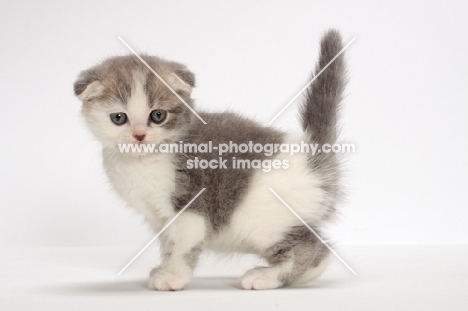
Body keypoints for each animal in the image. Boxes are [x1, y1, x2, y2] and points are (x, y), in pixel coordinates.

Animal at [74, 29, 348, 292]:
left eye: (158, 115)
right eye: (119, 118)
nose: (139, 135)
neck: (144, 159)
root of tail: (311, 155)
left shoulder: (190, 204)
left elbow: (182, 246)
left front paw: (174, 277)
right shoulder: (160, 217)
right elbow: (168, 244)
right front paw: (164, 269)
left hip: (262, 220)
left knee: (307, 244)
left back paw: (265, 277)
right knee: (322, 250)